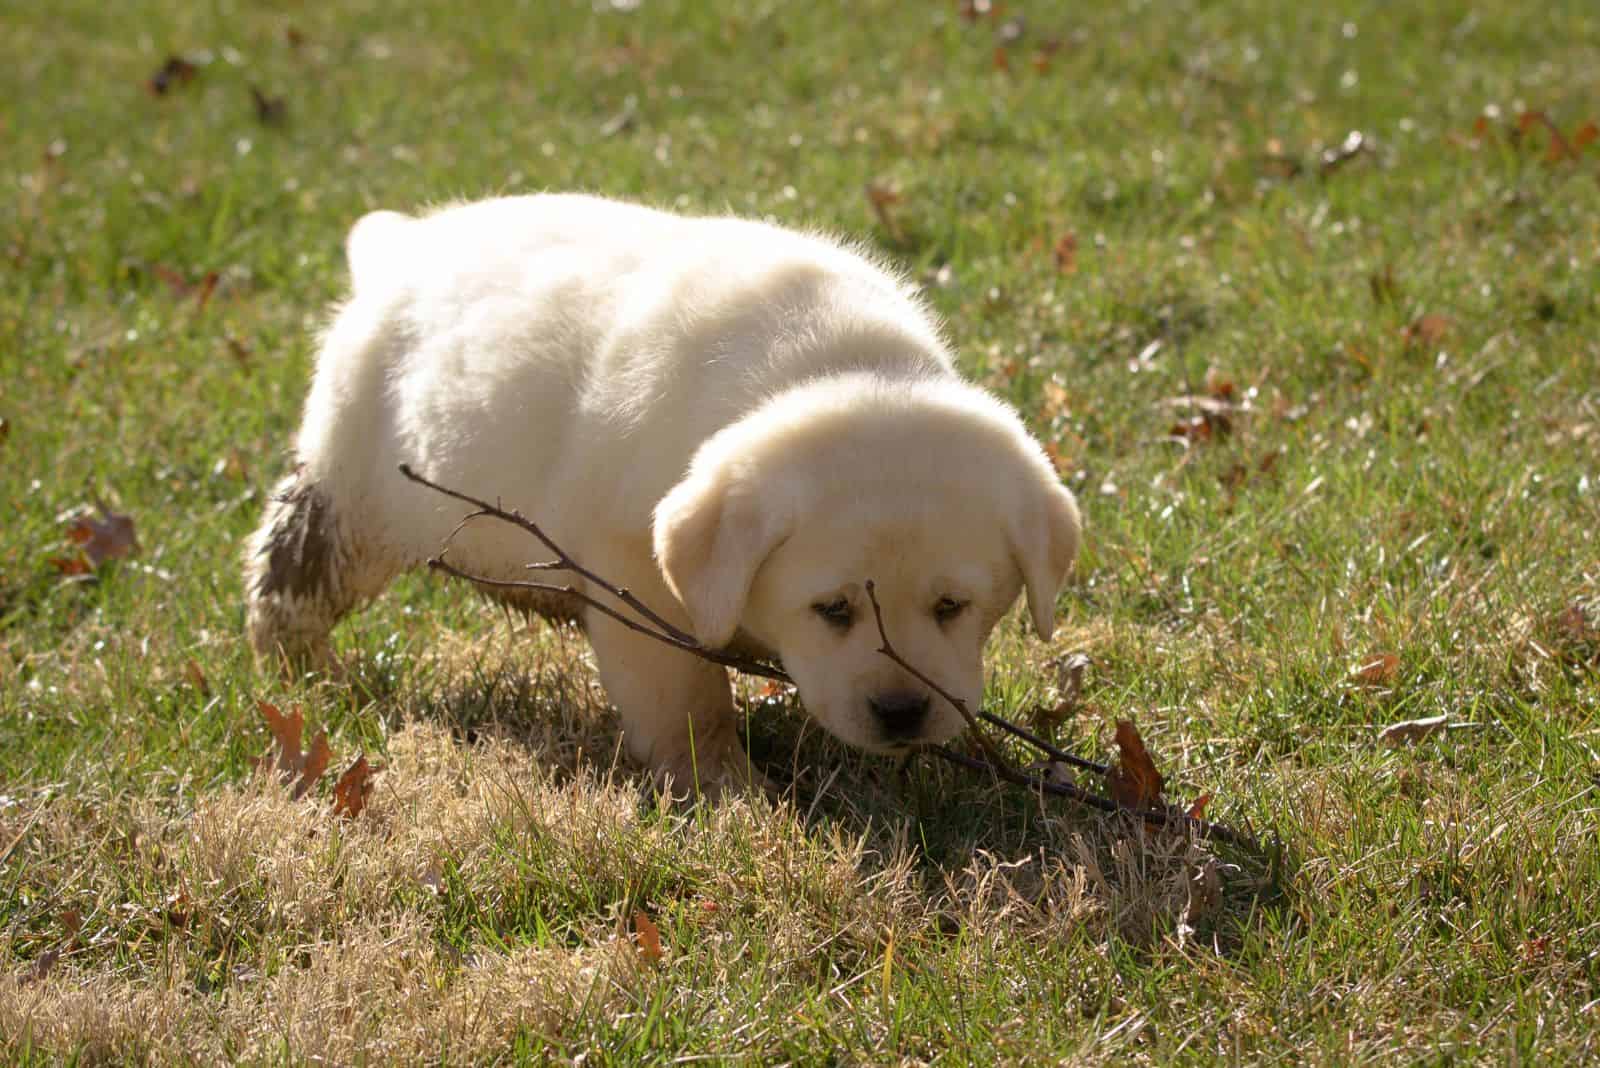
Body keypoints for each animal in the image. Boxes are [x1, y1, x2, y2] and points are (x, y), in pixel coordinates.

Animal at [243, 194, 1081, 793]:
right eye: (832, 610)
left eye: (953, 606)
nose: (902, 713)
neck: (832, 361)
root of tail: (402, 249)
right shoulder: (633, 570)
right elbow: (686, 695)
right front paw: (725, 788)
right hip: (348, 485)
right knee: (290, 578)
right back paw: (306, 673)